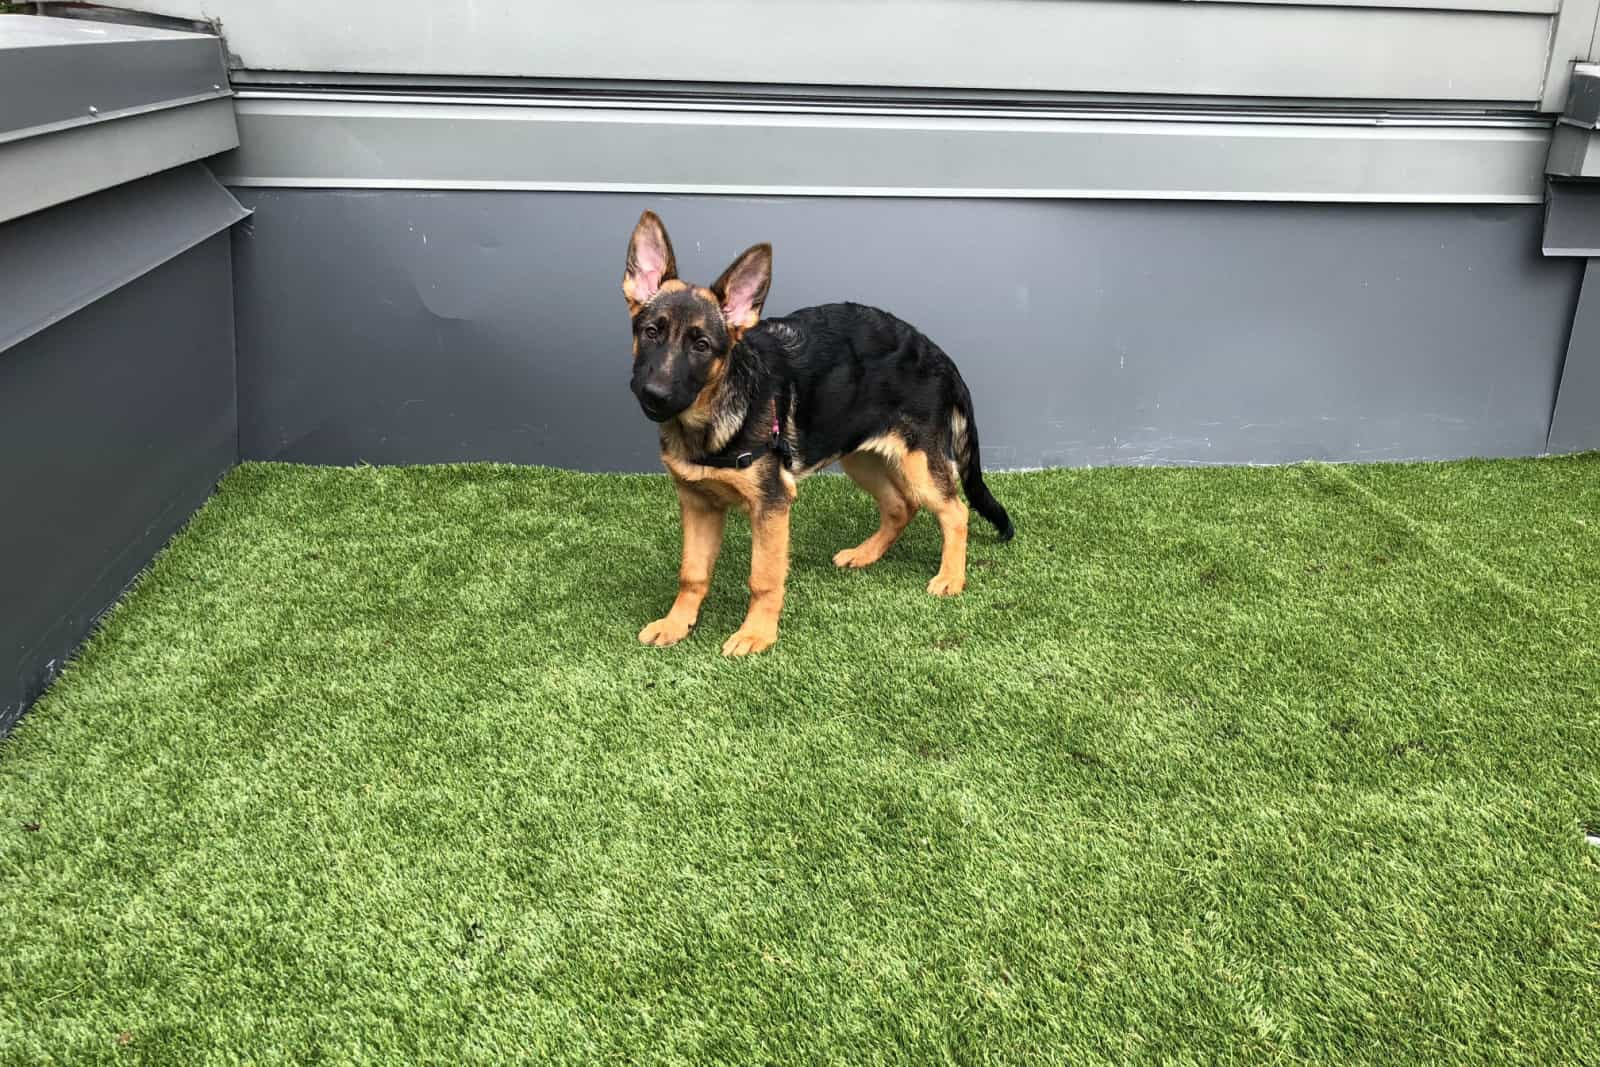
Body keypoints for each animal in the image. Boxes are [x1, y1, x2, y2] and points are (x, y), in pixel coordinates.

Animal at [624, 211, 1011, 655]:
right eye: (651, 332)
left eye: (701, 345)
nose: (654, 395)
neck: (712, 416)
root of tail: (939, 355)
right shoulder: (698, 505)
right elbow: (692, 572)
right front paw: (677, 624)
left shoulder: (772, 505)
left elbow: (764, 577)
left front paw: (756, 634)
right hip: (861, 457)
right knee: (901, 506)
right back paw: (866, 554)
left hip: (919, 465)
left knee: (955, 512)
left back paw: (951, 577)